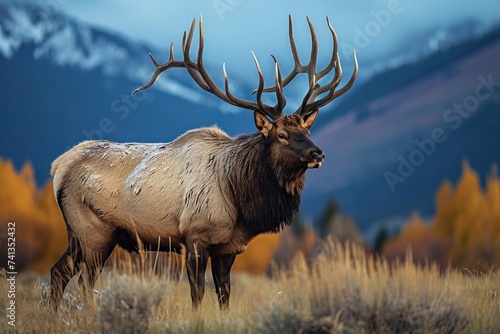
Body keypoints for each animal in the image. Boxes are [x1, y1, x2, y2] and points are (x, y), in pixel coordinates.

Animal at [49, 14, 356, 310]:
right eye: (282, 135)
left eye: (307, 131)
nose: (318, 154)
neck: (239, 199)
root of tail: (59, 166)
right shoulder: (195, 237)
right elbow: (197, 293)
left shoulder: (228, 247)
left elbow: (224, 296)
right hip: (95, 232)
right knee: (84, 283)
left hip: (77, 234)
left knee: (58, 272)